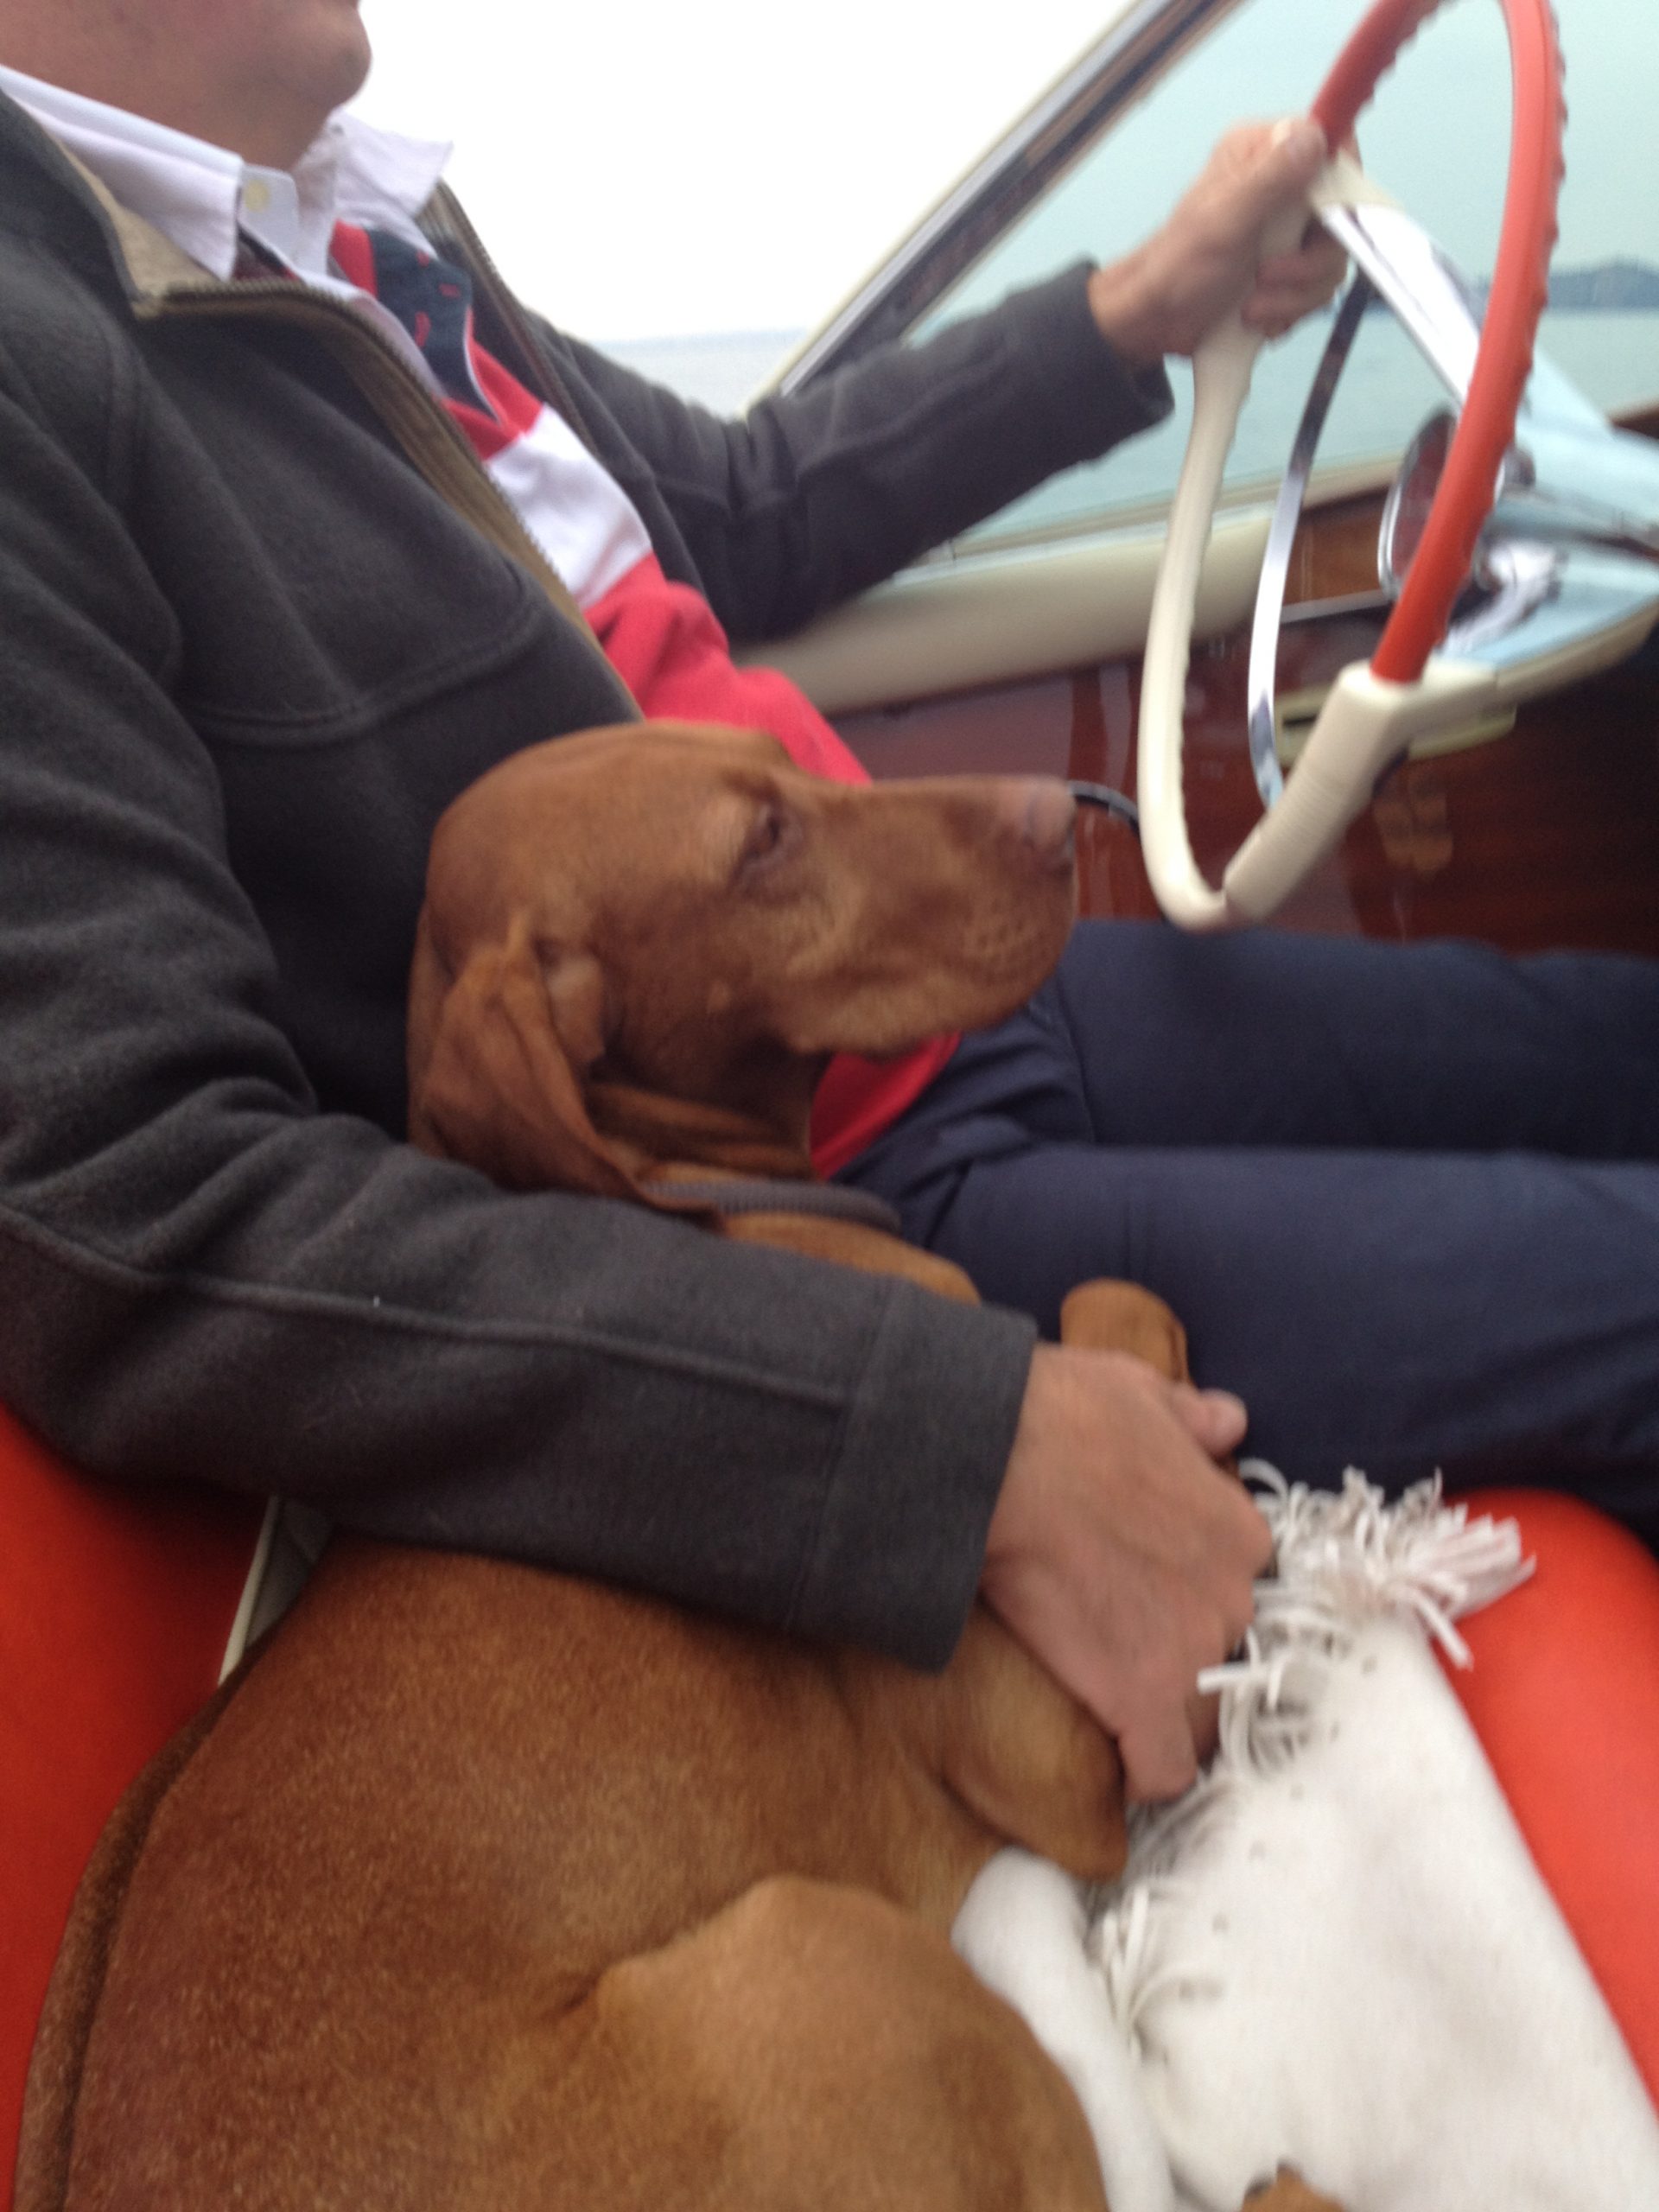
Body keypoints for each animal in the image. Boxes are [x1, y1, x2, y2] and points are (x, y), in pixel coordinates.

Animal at [19, 724, 1325, 2212]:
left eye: (779, 765)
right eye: (759, 844)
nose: (1074, 808)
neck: (704, 1190)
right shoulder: (1048, 1749)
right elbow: (1121, 1297)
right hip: (839, 1962)